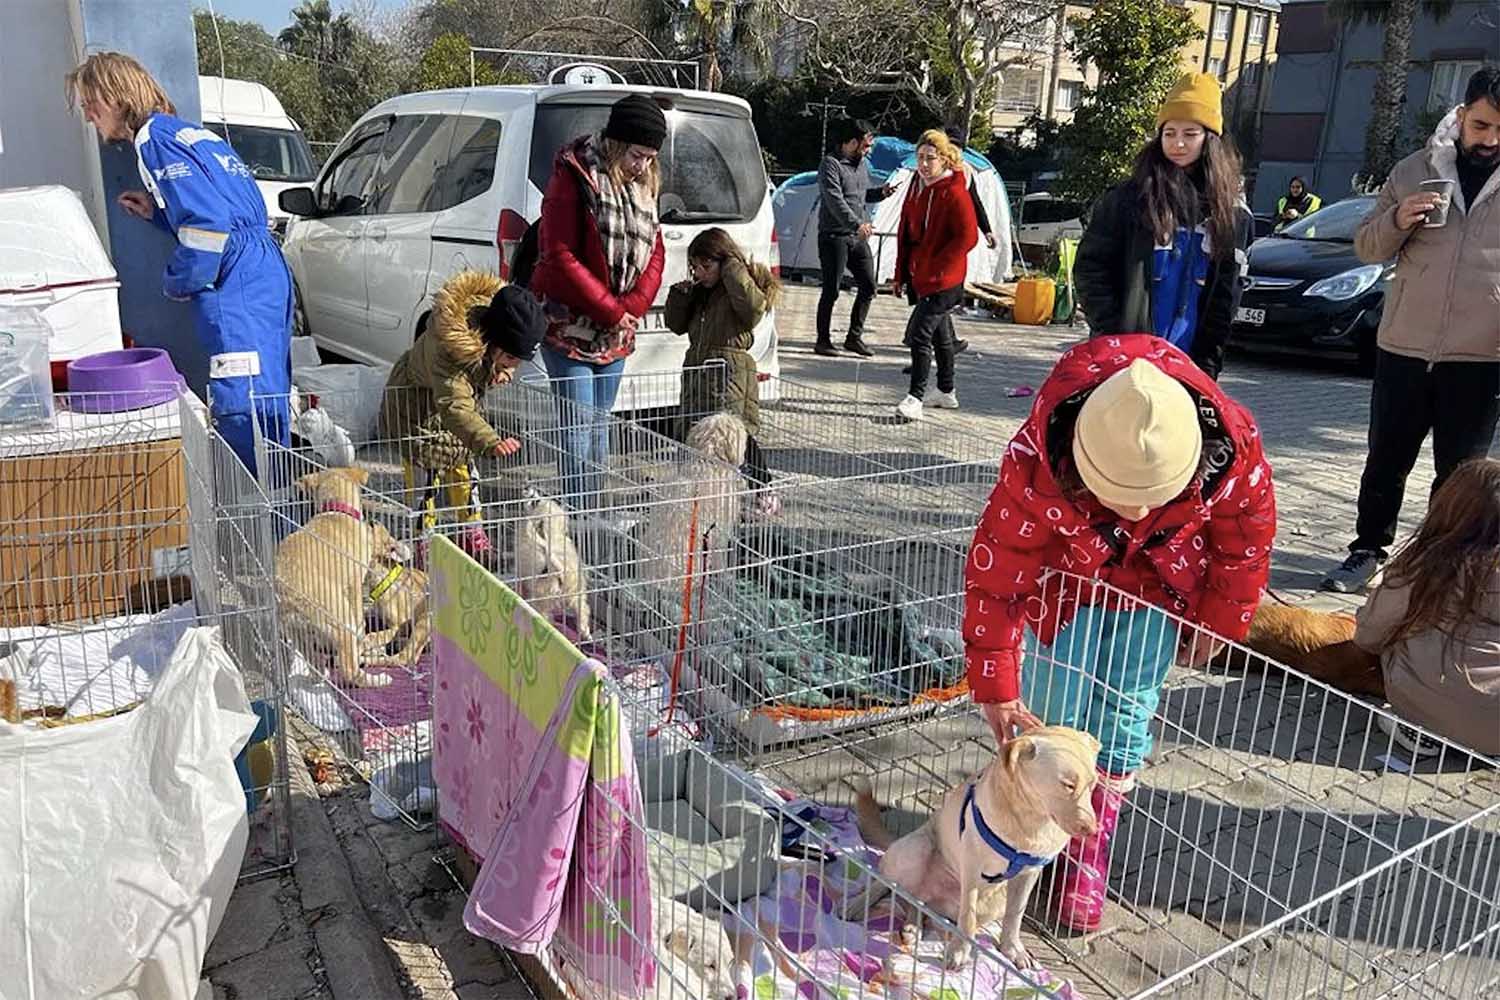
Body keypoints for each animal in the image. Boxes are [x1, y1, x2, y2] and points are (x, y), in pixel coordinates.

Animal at [274, 467, 393, 689]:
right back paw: (378, 679)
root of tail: (292, 601)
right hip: (342, 622)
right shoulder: (355, 582)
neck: (337, 510)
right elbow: (360, 619)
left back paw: (321, 675)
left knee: (315, 665)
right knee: (349, 671)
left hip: (296, 634)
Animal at [360, 524, 432, 671]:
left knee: (405, 658)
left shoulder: (398, 626)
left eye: (371, 525)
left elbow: (375, 635)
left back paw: (367, 660)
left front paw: (367, 642)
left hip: (424, 620)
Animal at [510, 491, 591, 641]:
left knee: (544, 616)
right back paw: (585, 632)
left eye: (535, 501)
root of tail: (561, 571)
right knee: (583, 610)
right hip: (577, 592)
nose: (527, 490)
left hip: (542, 599)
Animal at [846, 728, 1104, 971]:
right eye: (1067, 785)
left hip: (990, 903)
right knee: (884, 879)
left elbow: (1014, 916)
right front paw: (959, 952)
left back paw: (913, 927)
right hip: (916, 848)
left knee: (918, 902)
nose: (1093, 829)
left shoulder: (1029, 873)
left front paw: (1013, 949)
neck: (1030, 822)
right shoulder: (971, 865)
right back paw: (857, 905)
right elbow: (967, 918)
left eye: (1093, 785)